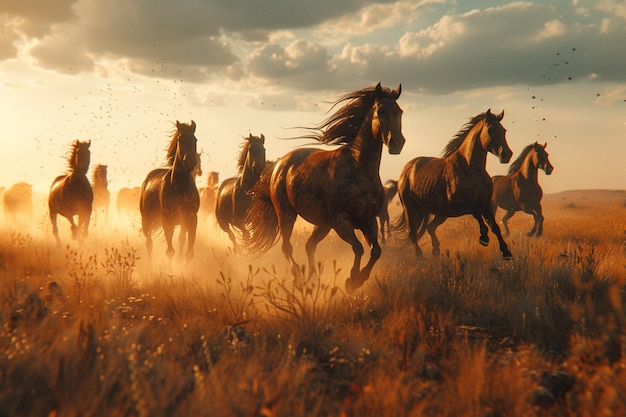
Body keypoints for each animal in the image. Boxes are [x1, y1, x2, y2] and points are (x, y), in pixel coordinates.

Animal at [140, 118, 199, 260]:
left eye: (195, 140)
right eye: (180, 139)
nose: (190, 162)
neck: (180, 187)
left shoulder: (191, 219)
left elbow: (189, 252)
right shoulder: (168, 220)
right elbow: (170, 252)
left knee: (181, 239)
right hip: (146, 221)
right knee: (149, 244)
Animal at [244, 83, 404, 292]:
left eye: (400, 112)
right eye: (382, 111)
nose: (397, 143)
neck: (359, 169)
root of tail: (280, 164)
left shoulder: (368, 221)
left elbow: (376, 250)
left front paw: (358, 279)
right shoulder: (341, 222)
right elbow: (358, 248)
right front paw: (352, 280)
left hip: (322, 224)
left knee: (309, 246)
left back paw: (313, 279)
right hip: (286, 215)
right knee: (288, 247)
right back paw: (299, 278)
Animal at [394, 109, 512, 260]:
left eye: (504, 130)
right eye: (491, 130)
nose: (507, 155)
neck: (470, 168)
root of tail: (406, 170)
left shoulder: (486, 203)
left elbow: (495, 227)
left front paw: (506, 252)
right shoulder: (463, 204)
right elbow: (478, 216)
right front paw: (484, 238)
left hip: (440, 213)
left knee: (430, 227)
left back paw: (436, 251)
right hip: (411, 209)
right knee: (412, 233)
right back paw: (420, 256)